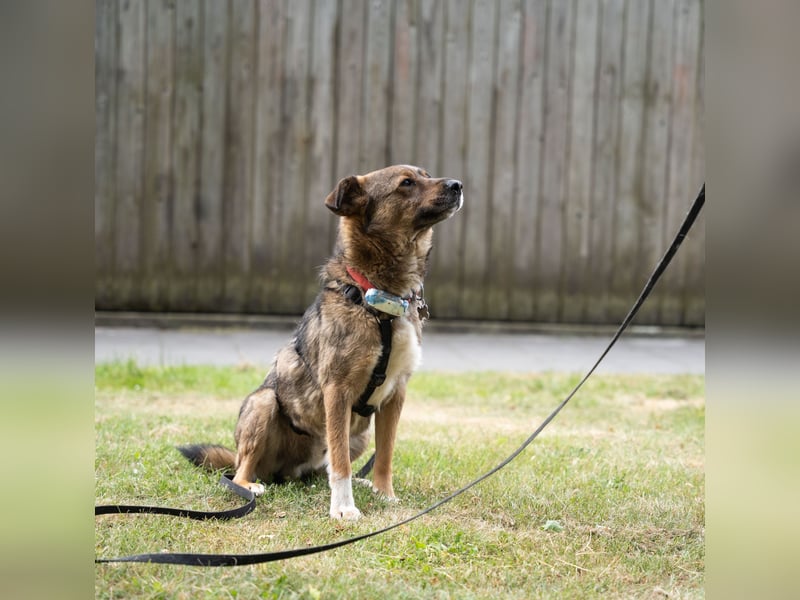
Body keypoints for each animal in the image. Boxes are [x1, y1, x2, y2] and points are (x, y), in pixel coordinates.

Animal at [179, 165, 463, 520]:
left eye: (426, 174)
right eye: (407, 183)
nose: (458, 185)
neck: (380, 300)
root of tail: (287, 470)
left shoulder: (395, 394)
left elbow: (385, 454)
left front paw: (385, 493)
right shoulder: (337, 391)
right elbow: (340, 464)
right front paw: (343, 508)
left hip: (359, 434)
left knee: (322, 469)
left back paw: (358, 482)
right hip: (263, 403)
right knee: (244, 468)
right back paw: (249, 485)